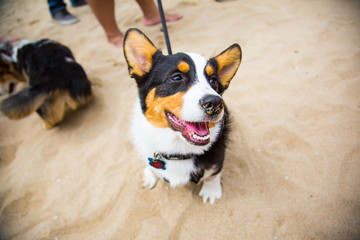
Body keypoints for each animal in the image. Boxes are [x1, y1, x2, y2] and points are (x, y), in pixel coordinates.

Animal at [124, 28, 242, 204]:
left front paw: (211, 191)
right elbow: (151, 167)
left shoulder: (217, 160)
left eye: (213, 80)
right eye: (177, 77)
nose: (215, 103)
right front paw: (150, 175)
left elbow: (213, 174)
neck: (177, 151)